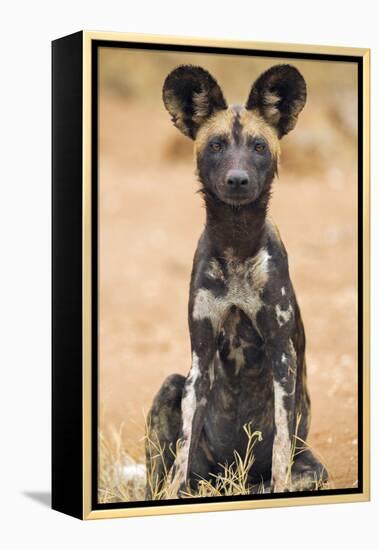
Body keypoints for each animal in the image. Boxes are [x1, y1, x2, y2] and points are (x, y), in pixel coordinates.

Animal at [145, 62, 326, 498]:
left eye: (259, 147)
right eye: (216, 145)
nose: (239, 179)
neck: (237, 244)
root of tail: (231, 480)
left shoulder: (282, 356)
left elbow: (280, 448)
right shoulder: (200, 358)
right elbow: (182, 453)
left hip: (313, 470)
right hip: (173, 387)